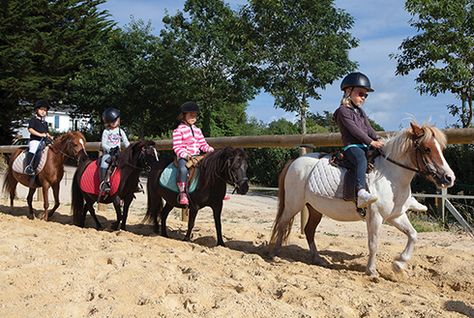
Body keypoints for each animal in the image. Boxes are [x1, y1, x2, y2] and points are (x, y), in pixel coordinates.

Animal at [270, 123, 456, 278]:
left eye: (440, 148)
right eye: (427, 149)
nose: (449, 178)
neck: (390, 175)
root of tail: (294, 162)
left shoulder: (395, 216)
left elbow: (413, 235)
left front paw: (398, 264)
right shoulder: (375, 216)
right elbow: (373, 243)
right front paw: (372, 271)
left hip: (315, 208)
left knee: (309, 230)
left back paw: (318, 259)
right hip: (294, 204)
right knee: (282, 224)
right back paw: (274, 254)